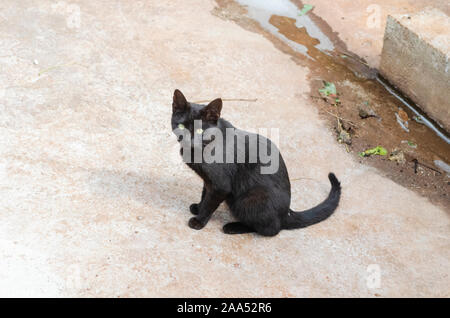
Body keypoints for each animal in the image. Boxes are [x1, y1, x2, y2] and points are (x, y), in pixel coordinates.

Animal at [172, 89, 342, 236]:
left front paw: (199, 221)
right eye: (181, 126)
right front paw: (198, 207)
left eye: (200, 131)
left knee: (271, 229)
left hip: (246, 200)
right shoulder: (208, 181)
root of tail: (286, 213)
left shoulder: (221, 185)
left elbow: (209, 203)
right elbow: (204, 194)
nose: (189, 141)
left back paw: (232, 227)